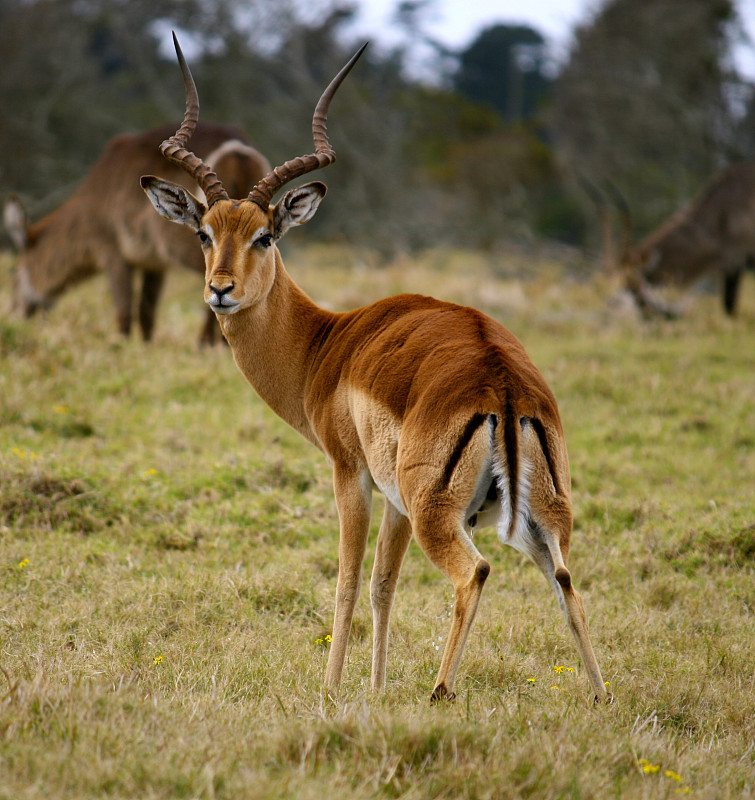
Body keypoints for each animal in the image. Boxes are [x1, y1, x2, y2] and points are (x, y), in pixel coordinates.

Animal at [4, 123, 270, 342]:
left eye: (13, 272)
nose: (13, 313)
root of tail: (238, 153)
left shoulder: (114, 254)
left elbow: (123, 312)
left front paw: (120, 346)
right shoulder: (154, 263)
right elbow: (146, 313)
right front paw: (146, 346)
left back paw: (207, 345)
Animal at [143, 37, 616, 700]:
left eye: (265, 236)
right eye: (205, 232)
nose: (221, 290)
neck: (327, 344)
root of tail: (504, 385)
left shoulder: (352, 476)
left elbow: (346, 583)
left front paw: (331, 692)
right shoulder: (392, 501)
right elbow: (382, 587)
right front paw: (375, 690)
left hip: (437, 514)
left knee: (475, 572)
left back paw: (440, 692)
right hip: (542, 517)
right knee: (567, 581)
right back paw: (599, 695)